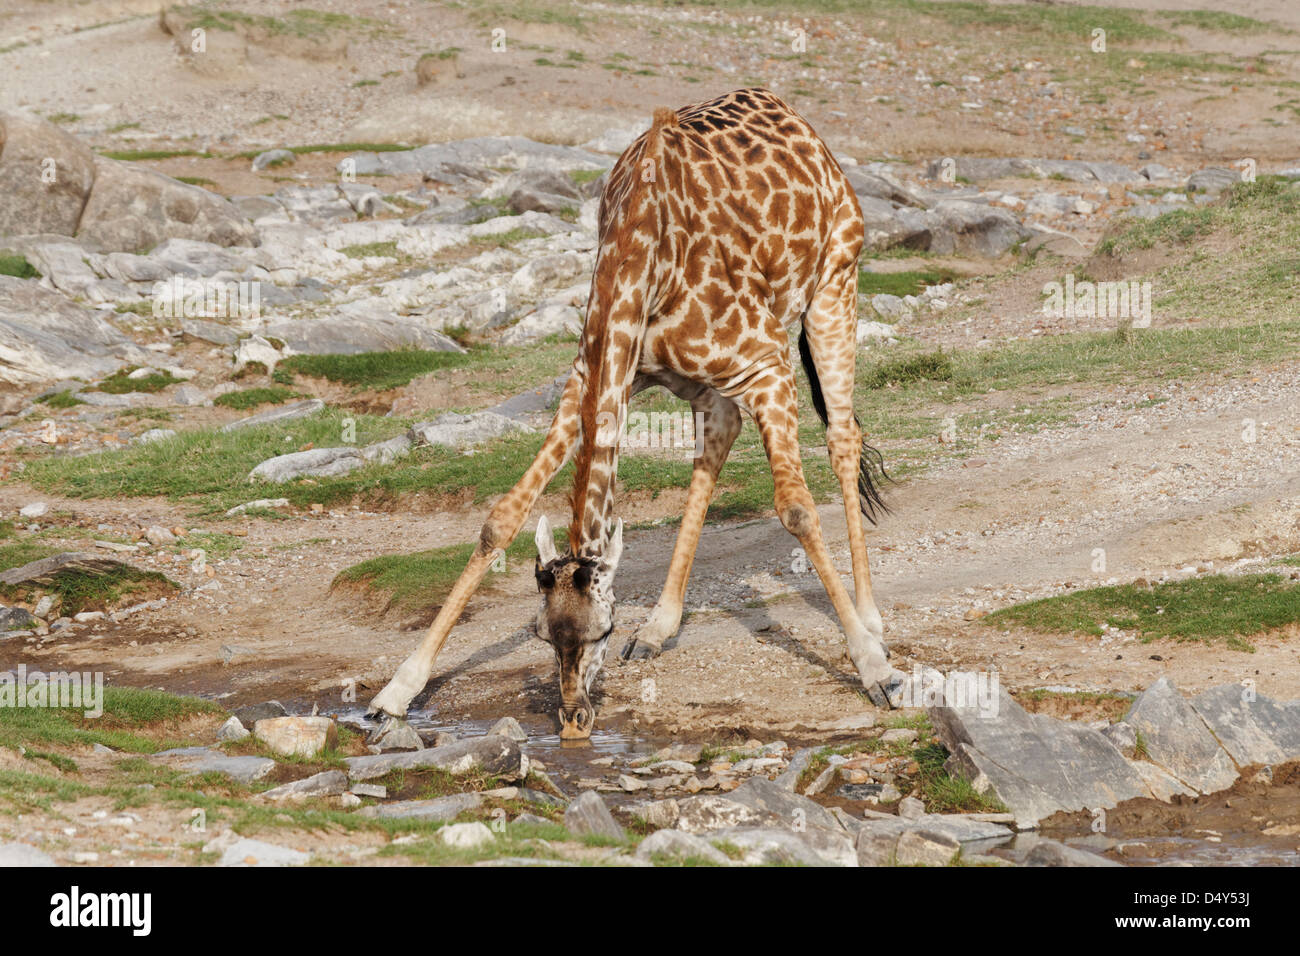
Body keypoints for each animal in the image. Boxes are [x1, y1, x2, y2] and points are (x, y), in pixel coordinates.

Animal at [366, 87, 894, 738]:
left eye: (603, 631)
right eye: (542, 635)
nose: (574, 720)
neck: (639, 255)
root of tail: (795, 118)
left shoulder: (766, 362)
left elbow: (795, 509)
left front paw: (874, 670)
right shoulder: (593, 376)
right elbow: (501, 517)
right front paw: (395, 691)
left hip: (834, 286)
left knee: (843, 437)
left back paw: (871, 621)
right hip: (704, 381)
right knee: (718, 441)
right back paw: (661, 627)